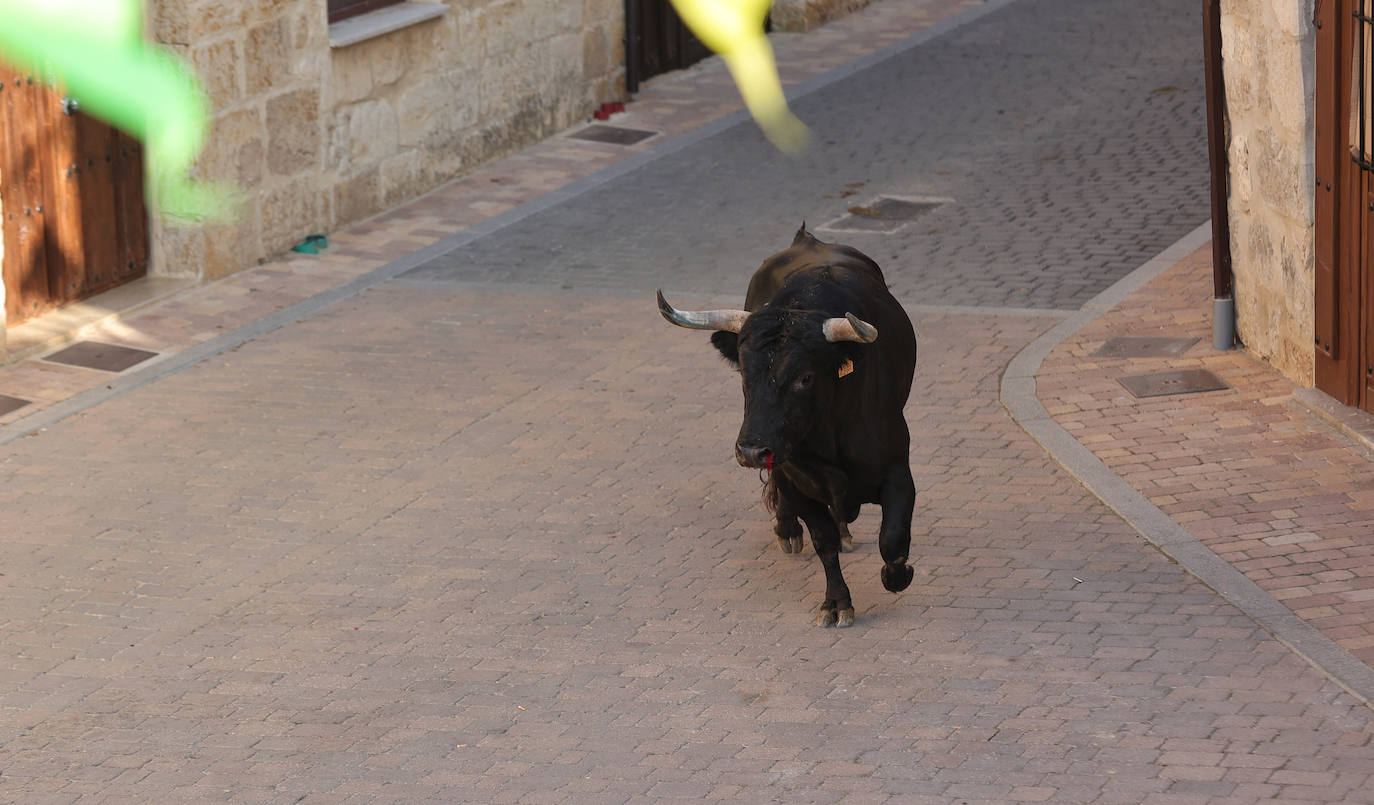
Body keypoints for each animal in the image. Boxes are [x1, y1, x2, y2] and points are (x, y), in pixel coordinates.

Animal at [659, 225, 917, 626]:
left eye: (805, 377)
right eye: (744, 374)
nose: (751, 450)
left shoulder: (898, 471)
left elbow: (892, 540)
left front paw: (897, 576)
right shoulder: (797, 479)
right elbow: (823, 540)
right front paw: (837, 603)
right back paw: (789, 529)